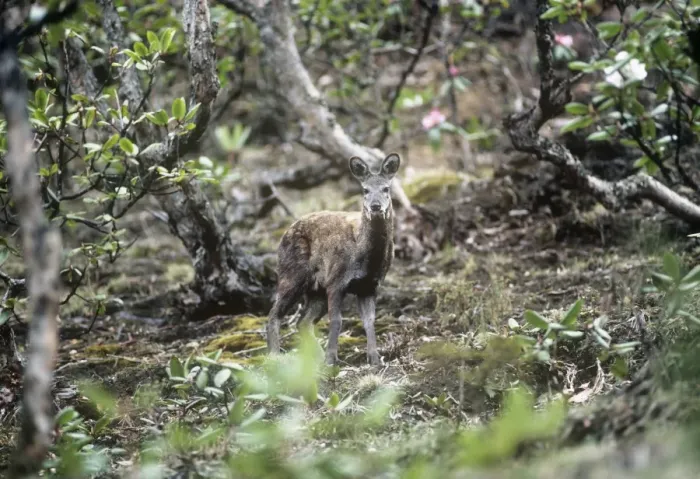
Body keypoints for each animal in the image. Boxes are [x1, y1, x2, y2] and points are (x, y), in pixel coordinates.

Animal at [265, 153, 401, 366]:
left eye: (386, 188)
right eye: (365, 190)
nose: (375, 206)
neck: (365, 257)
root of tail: (285, 232)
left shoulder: (369, 286)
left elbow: (370, 321)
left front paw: (375, 359)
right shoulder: (337, 280)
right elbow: (336, 320)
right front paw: (331, 359)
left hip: (316, 290)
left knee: (303, 322)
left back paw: (315, 357)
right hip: (291, 274)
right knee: (274, 314)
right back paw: (275, 356)